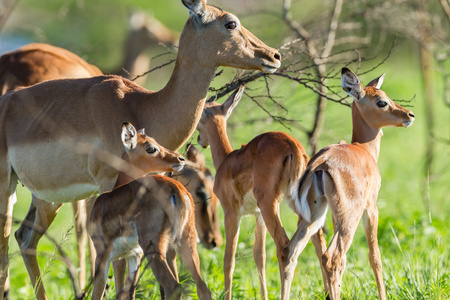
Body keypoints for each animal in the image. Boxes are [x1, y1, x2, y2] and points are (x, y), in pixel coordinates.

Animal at [0, 0, 280, 298]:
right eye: (230, 23)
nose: (274, 56)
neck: (142, 105)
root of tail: (7, 98)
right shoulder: (107, 185)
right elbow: (118, 269)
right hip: (8, 189)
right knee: (6, 244)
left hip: (47, 199)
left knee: (24, 238)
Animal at [197, 86, 310, 300]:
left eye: (199, 120)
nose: (199, 140)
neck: (227, 160)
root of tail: (294, 147)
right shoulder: (258, 215)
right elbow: (260, 257)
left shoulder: (232, 213)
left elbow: (229, 259)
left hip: (270, 205)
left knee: (284, 248)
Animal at [284, 68, 416, 300]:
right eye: (381, 102)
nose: (409, 115)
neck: (363, 149)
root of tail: (321, 162)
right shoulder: (371, 208)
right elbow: (375, 256)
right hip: (348, 217)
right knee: (332, 256)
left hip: (315, 214)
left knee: (291, 252)